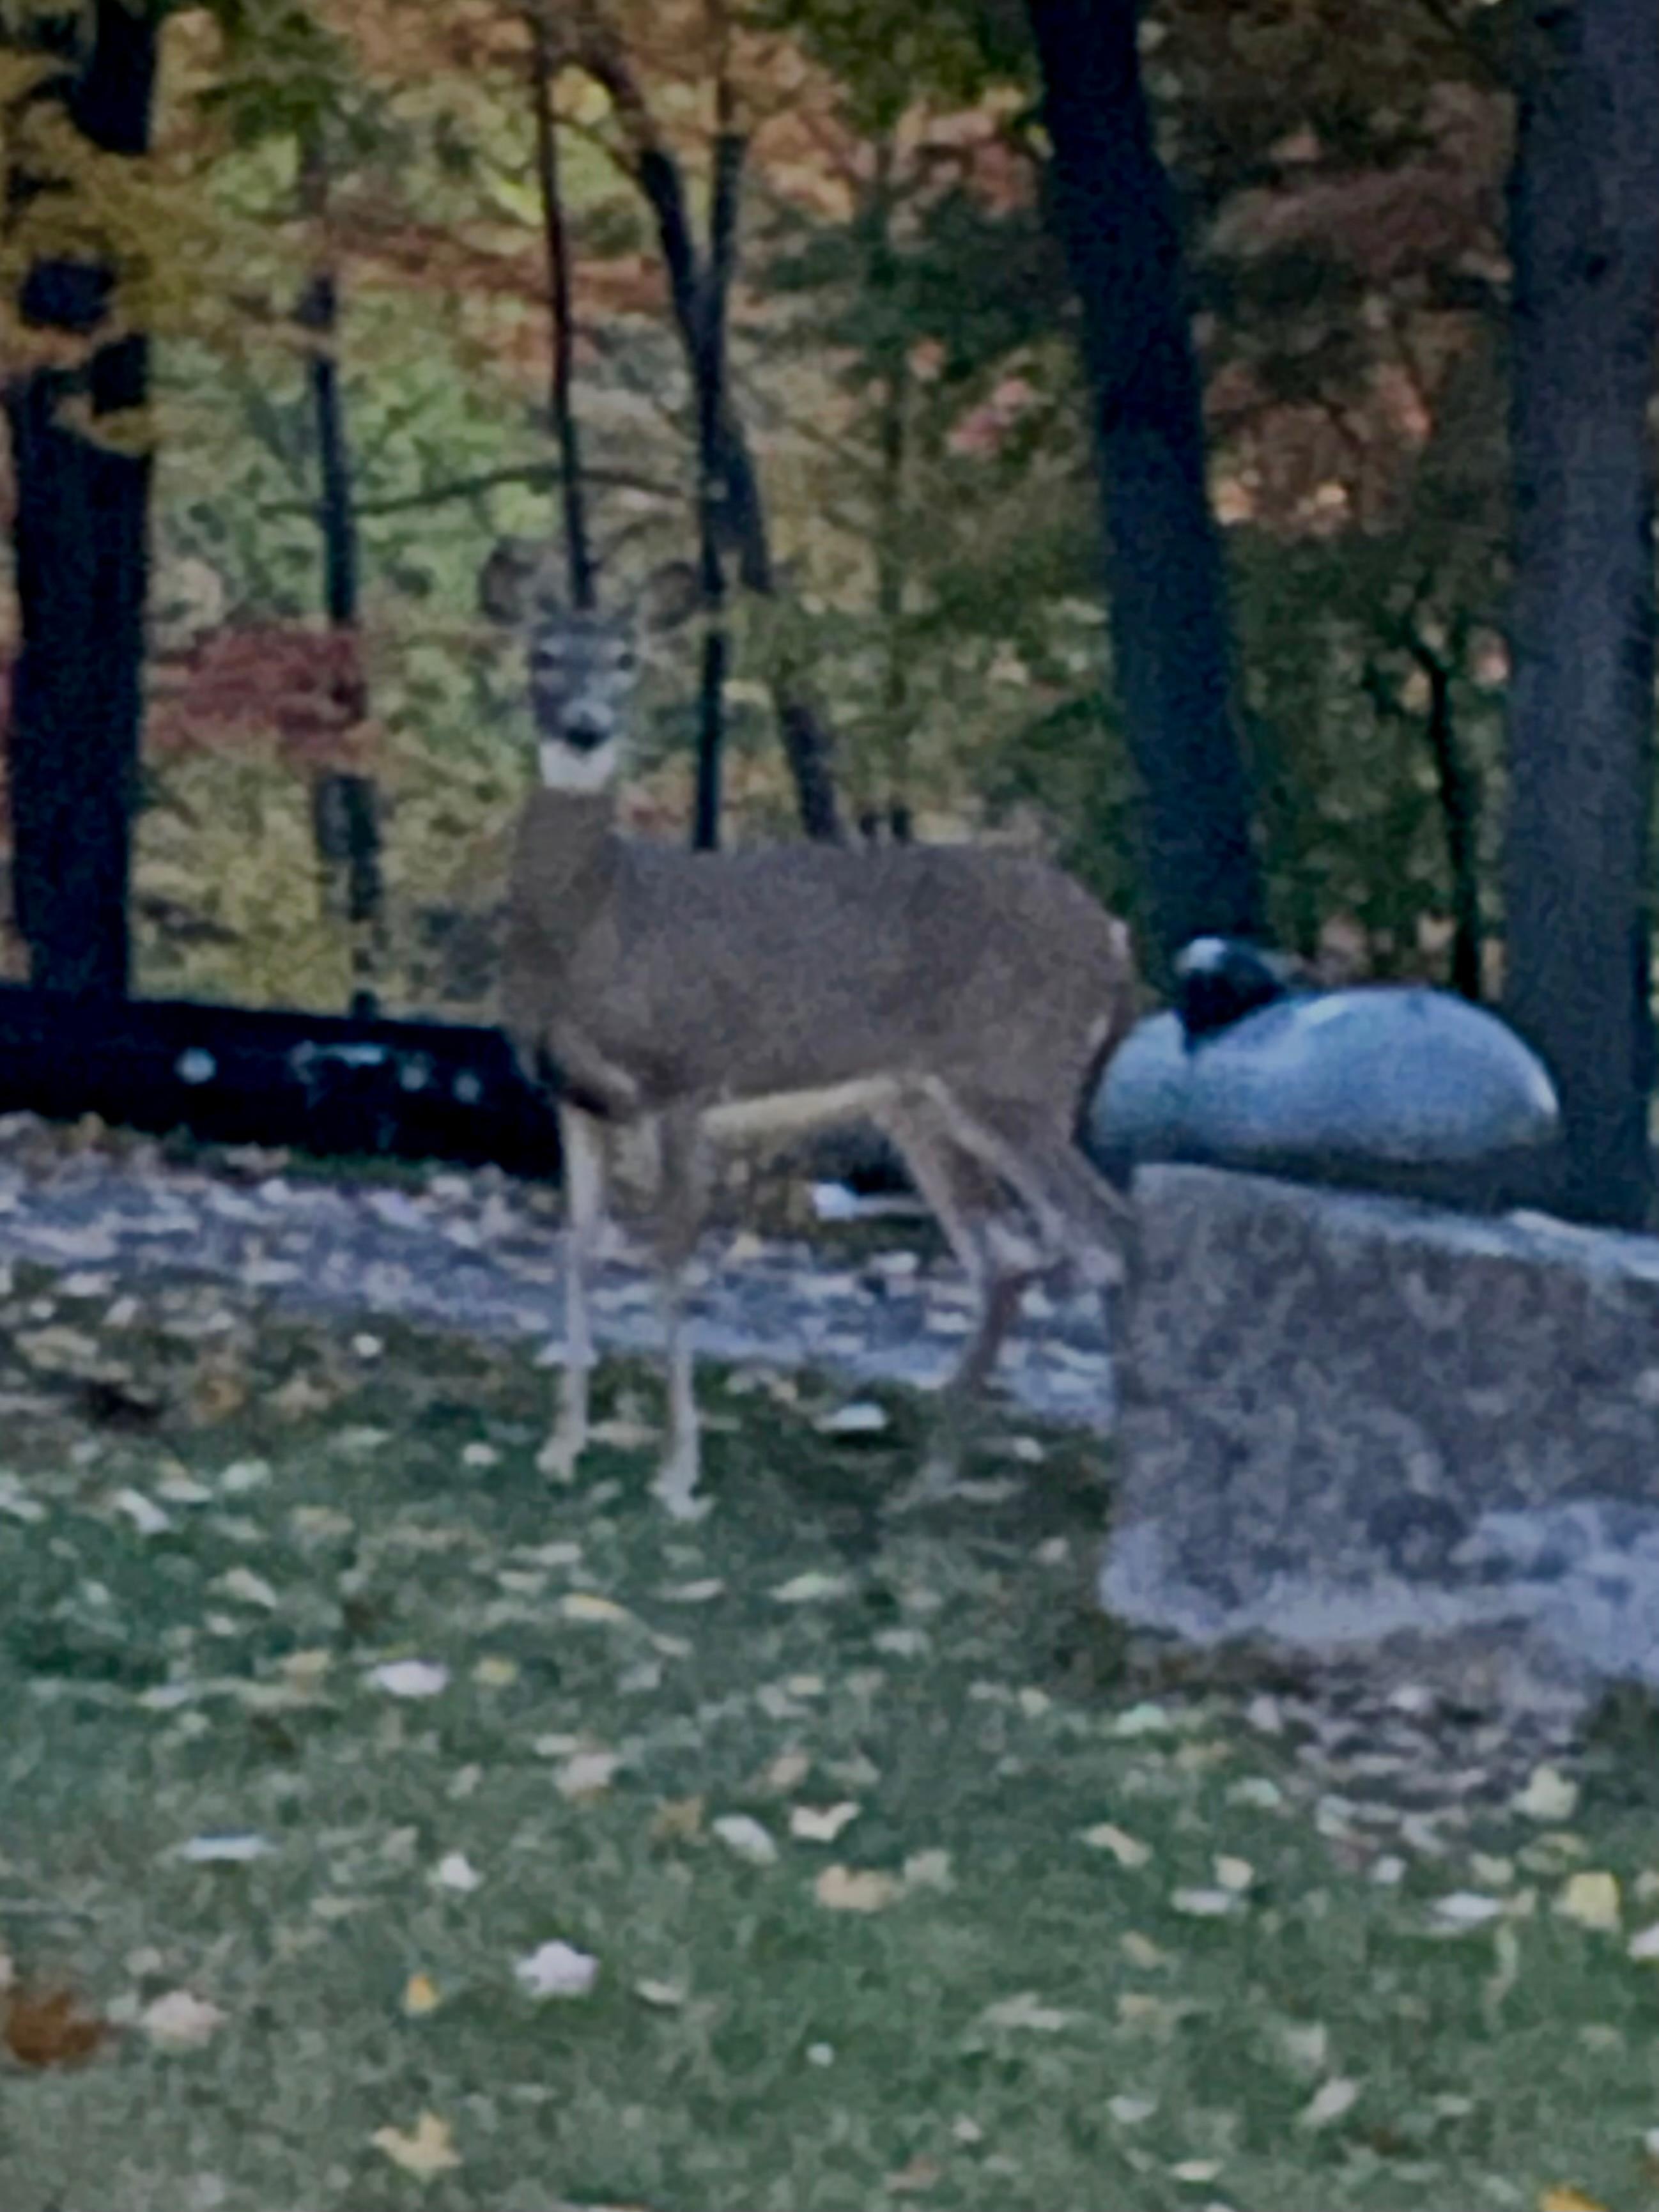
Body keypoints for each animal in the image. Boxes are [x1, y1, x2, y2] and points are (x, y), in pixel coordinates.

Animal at [494, 558, 1141, 1521]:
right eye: (541, 654)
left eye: (626, 658)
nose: (585, 725)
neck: (601, 919)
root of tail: (1116, 941)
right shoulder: (572, 1100)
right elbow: (576, 1250)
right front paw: (563, 1446)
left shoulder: (686, 1077)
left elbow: (671, 1259)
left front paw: (678, 1473)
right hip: (921, 1106)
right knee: (1007, 1256)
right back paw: (930, 1476)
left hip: (1016, 1080)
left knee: (1106, 1236)